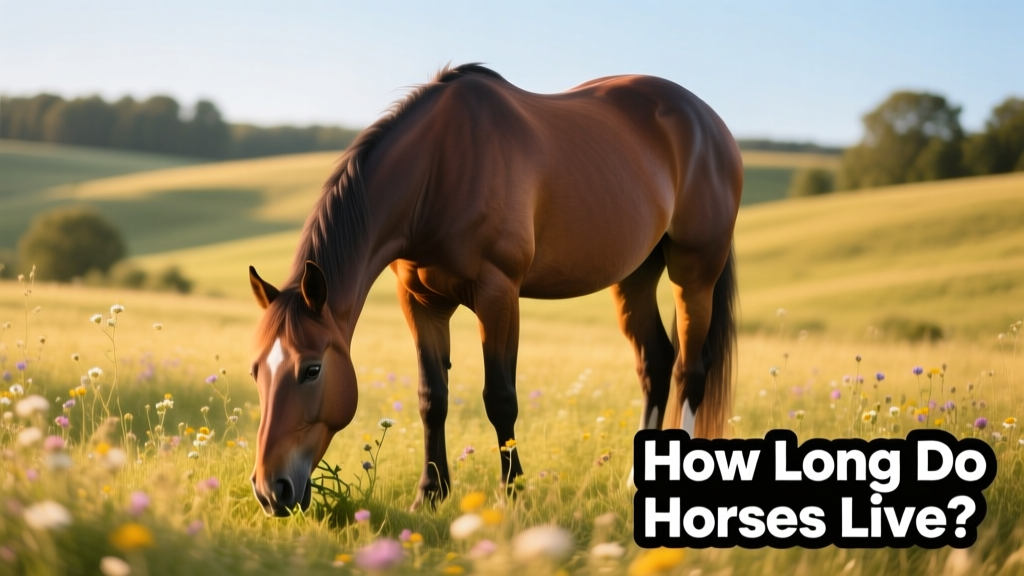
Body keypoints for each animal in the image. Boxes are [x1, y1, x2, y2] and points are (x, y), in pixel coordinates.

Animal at [247, 64, 742, 516]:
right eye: (255, 371)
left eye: (312, 370)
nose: (271, 490)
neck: (439, 169)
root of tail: (708, 122)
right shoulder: (421, 303)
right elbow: (432, 398)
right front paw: (430, 494)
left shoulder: (498, 295)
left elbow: (501, 399)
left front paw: (513, 495)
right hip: (635, 275)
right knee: (655, 363)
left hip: (694, 271)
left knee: (689, 370)